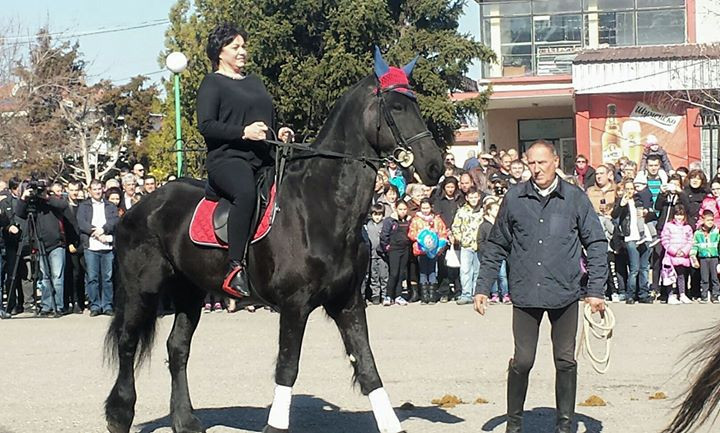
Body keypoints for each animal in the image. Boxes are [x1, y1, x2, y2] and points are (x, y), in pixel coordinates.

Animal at [103, 49, 442, 432]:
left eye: (414, 103)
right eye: (396, 107)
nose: (435, 166)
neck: (322, 206)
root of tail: (140, 208)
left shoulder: (348, 302)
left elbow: (369, 369)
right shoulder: (295, 306)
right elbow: (287, 367)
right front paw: (275, 424)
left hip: (190, 291)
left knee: (177, 349)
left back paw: (185, 420)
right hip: (142, 290)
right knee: (128, 343)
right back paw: (120, 414)